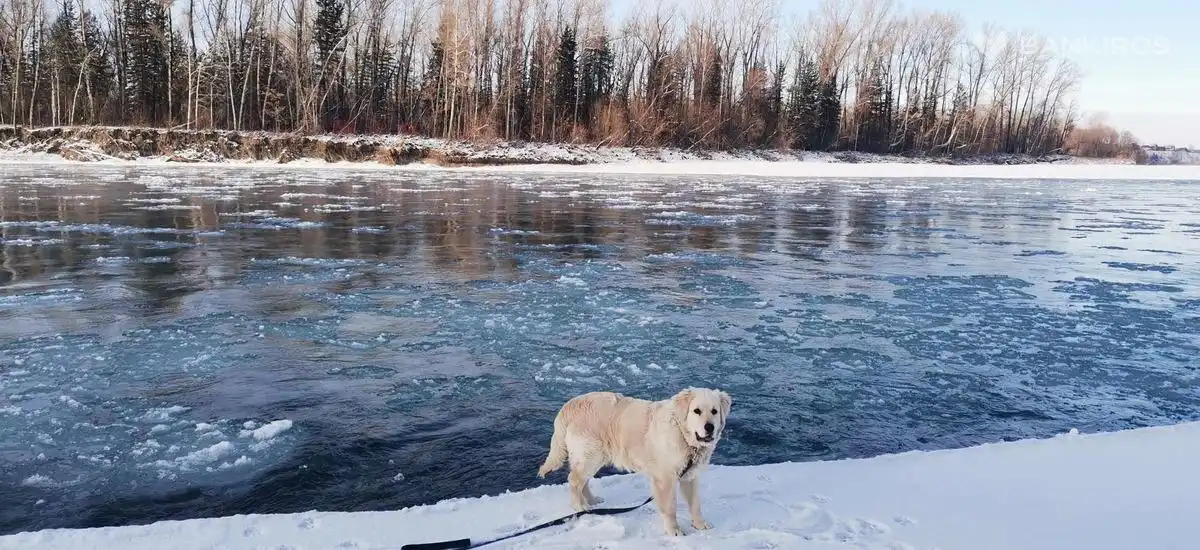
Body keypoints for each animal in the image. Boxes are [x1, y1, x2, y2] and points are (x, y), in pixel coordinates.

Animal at [542, 386, 729, 537]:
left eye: (714, 411)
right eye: (696, 411)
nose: (709, 427)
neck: (683, 434)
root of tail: (571, 404)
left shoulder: (690, 476)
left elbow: (695, 504)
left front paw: (700, 525)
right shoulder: (665, 479)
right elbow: (670, 508)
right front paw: (674, 531)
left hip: (594, 457)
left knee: (583, 481)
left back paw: (592, 501)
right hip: (591, 455)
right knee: (574, 480)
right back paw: (580, 507)